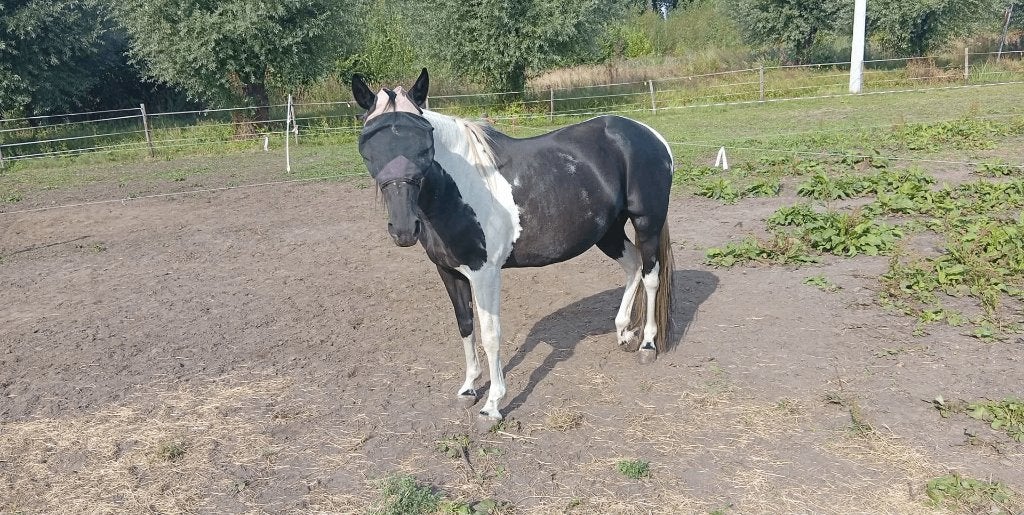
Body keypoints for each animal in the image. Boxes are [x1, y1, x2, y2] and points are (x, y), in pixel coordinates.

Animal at [352, 69, 675, 421]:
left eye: (425, 143)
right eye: (368, 146)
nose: (403, 229)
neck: (460, 189)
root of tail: (649, 134)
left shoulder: (485, 274)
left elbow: (491, 335)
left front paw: (492, 405)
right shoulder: (448, 271)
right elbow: (465, 325)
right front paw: (469, 388)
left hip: (647, 223)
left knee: (651, 276)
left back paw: (647, 345)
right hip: (608, 233)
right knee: (633, 266)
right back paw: (623, 332)